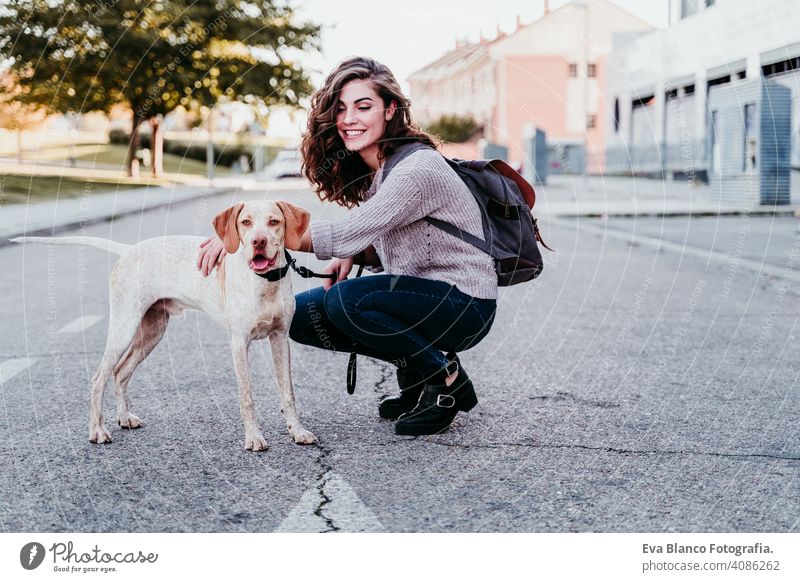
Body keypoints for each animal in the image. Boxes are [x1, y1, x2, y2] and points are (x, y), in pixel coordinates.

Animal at [12, 201, 318, 452]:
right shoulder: (238, 344)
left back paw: (124, 418)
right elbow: (247, 397)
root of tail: (129, 250)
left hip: (152, 332)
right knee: (99, 377)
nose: (258, 241)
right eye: (245, 222)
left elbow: (288, 393)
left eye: (274, 222)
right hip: (124, 326)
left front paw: (297, 431)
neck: (265, 283)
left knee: (120, 373)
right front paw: (253, 438)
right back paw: (97, 430)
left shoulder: (280, 339)